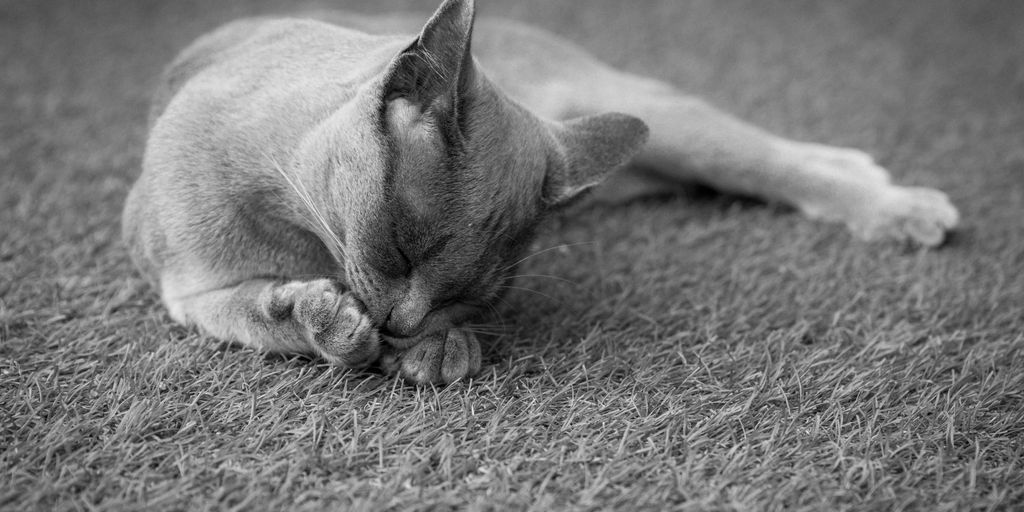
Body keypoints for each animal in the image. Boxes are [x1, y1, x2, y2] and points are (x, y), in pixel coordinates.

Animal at [121, 0, 958, 385]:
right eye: (400, 248)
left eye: (470, 297)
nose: (403, 324)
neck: (298, 225)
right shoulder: (190, 290)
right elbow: (264, 316)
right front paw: (342, 328)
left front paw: (431, 348)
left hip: (662, 123)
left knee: (773, 161)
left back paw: (906, 209)